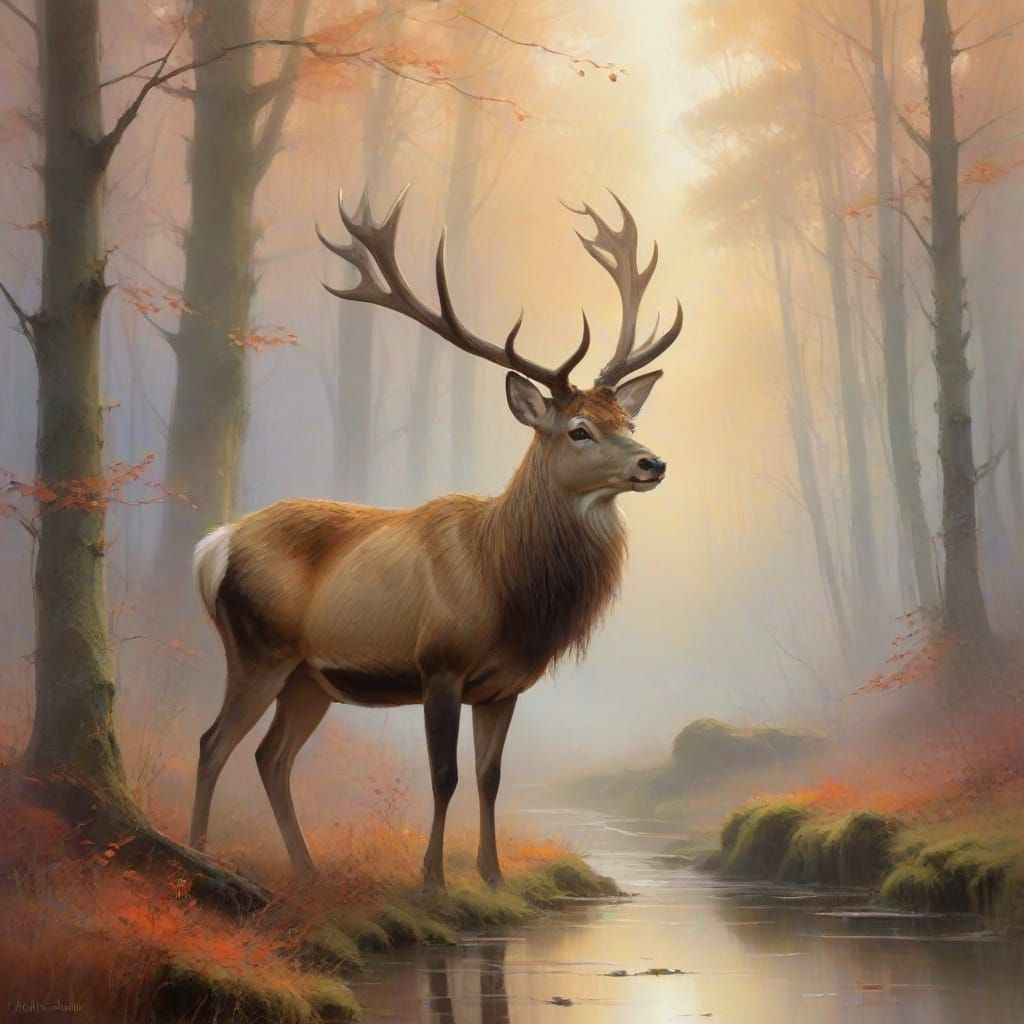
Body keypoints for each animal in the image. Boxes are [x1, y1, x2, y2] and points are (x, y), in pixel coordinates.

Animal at [188, 186, 682, 889]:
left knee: (271, 756)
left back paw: (306, 870)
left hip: (310, 676)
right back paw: (201, 858)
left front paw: (494, 877)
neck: (507, 587)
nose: (653, 463)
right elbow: (444, 776)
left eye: (629, 420)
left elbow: (490, 777)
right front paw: (433, 880)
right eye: (579, 429)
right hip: (258, 646)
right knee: (214, 742)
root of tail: (214, 546)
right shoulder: (440, 662)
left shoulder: (504, 685)